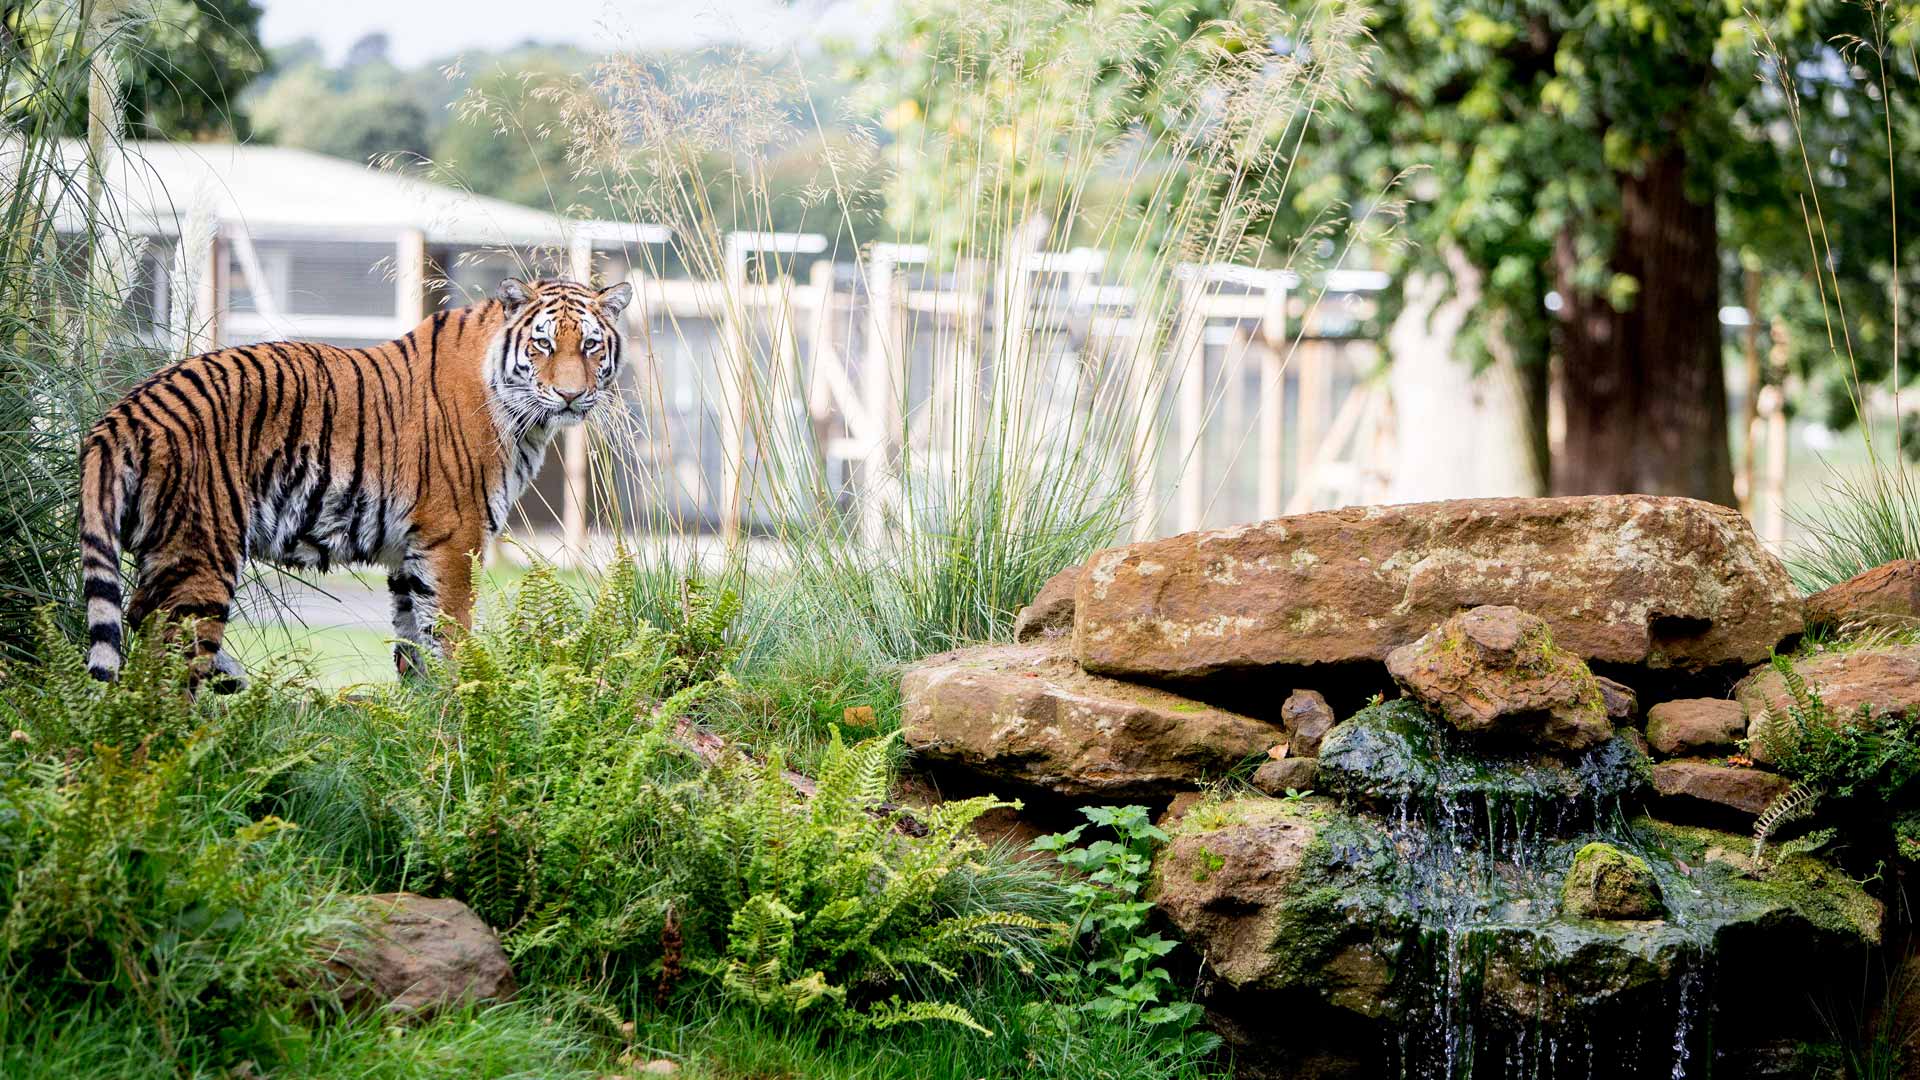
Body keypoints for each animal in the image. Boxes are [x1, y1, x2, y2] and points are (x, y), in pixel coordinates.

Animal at [78, 272, 633, 684]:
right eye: (543, 345)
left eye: (590, 346)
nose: (570, 396)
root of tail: (125, 412)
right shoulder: (454, 541)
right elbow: (451, 641)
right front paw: (464, 716)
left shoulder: (410, 555)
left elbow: (415, 648)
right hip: (201, 551)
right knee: (165, 668)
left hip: (169, 554)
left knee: (139, 622)